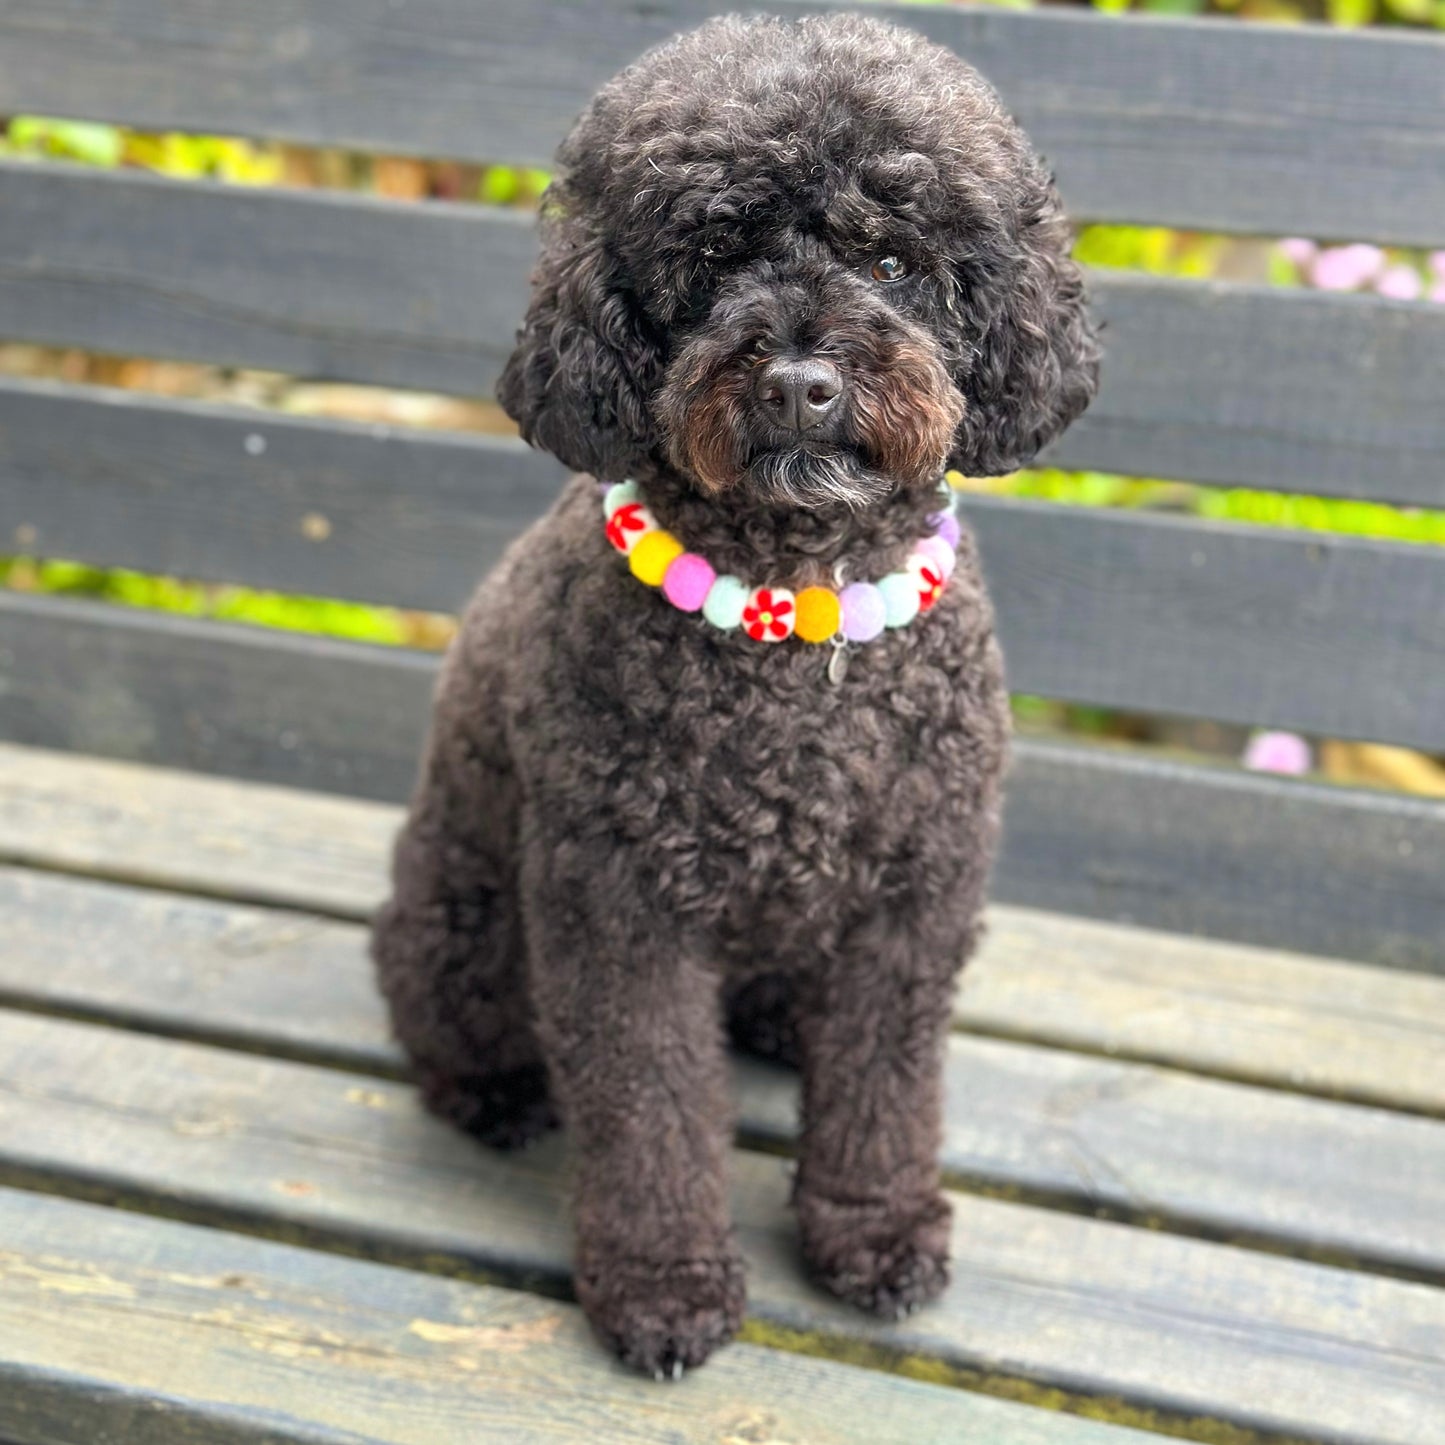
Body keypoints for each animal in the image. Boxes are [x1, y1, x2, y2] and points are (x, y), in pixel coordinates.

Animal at [372, 14, 1092, 1375]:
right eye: (709, 261)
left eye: (890, 256)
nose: (801, 379)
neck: (795, 627)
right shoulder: (618, 908)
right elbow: (649, 1104)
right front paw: (661, 1285)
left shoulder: (911, 899)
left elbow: (881, 1085)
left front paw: (873, 1231)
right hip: (460, 924)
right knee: (453, 1027)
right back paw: (496, 1094)